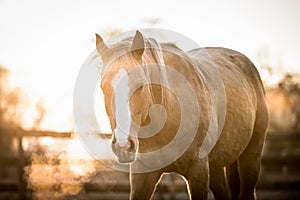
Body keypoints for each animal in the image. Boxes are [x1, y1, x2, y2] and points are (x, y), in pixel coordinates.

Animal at [96, 30, 270, 200]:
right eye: (103, 87)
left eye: (141, 86)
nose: (123, 145)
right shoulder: (142, 175)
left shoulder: (198, 172)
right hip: (216, 167)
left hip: (250, 157)